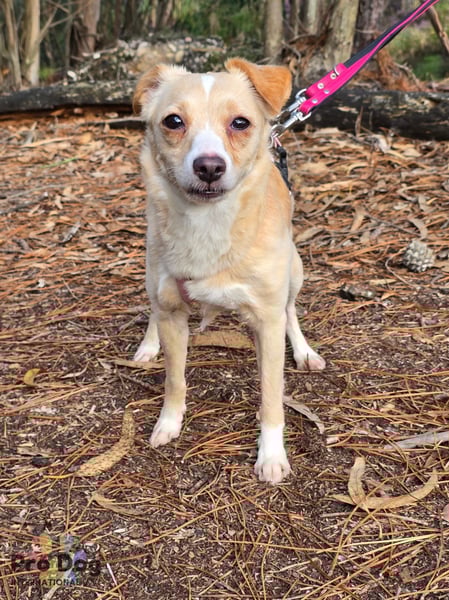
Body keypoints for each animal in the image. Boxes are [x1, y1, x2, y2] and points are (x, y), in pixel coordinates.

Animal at [132, 58, 325, 484]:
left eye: (240, 123)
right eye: (173, 121)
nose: (208, 166)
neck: (208, 225)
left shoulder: (268, 321)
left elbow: (271, 396)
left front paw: (271, 455)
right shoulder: (172, 311)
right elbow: (175, 379)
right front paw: (168, 423)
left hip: (295, 270)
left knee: (291, 312)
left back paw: (304, 352)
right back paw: (148, 345)